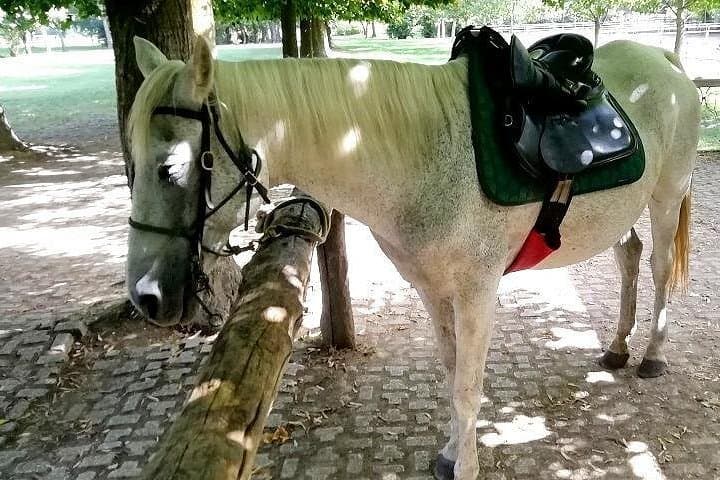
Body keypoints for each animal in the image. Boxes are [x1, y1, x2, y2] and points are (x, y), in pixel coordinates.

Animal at [125, 36, 699, 479]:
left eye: (171, 168)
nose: (146, 298)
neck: (421, 155)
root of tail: (664, 61)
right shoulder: (430, 288)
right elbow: (449, 373)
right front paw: (449, 452)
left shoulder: (476, 292)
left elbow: (467, 387)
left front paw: (465, 466)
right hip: (621, 212)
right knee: (629, 257)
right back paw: (618, 348)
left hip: (666, 197)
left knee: (658, 269)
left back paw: (651, 355)